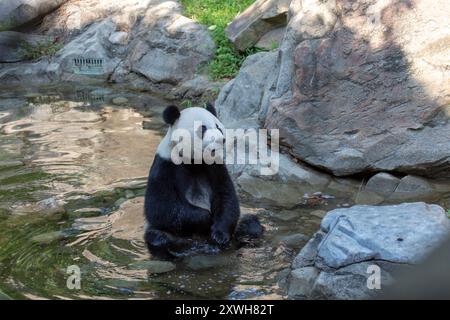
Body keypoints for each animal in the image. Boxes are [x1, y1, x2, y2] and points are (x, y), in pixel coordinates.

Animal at [144, 104, 264, 258]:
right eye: (203, 129)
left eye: (218, 127)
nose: (221, 140)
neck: (194, 161)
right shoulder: (165, 165)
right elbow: (161, 207)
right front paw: (206, 217)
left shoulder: (215, 166)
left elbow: (226, 197)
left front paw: (219, 235)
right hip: (164, 232)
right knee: (159, 237)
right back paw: (182, 246)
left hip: (242, 222)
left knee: (250, 224)